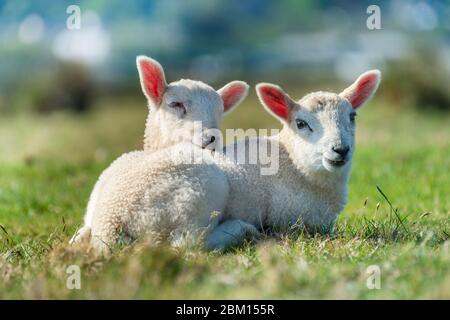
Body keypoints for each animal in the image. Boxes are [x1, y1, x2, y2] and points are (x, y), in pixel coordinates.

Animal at [69, 55, 250, 245]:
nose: (211, 138)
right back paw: (239, 228)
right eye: (175, 104)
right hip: (199, 195)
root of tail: (110, 228)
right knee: (187, 243)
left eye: (220, 111)